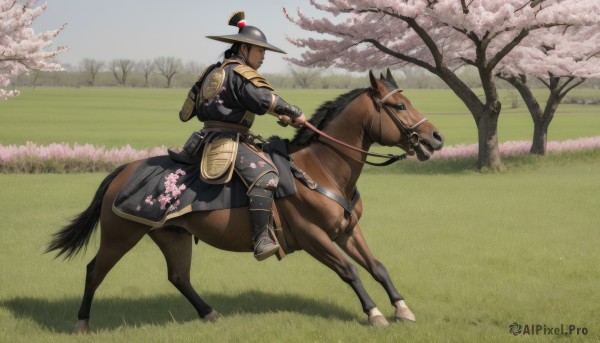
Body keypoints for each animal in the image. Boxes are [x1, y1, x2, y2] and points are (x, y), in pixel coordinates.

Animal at [47, 70, 440, 334]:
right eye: (400, 105)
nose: (435, 137)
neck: (324, 170)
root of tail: (123, 170)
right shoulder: (314, 237)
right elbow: (350, 270)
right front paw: (374, 314)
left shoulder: (346, 231)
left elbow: (377, 267)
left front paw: (401, 308)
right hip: (121, 235)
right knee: (94, 271)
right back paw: (82, 324)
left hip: (172, 235)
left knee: (178, 276)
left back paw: (209, 313)